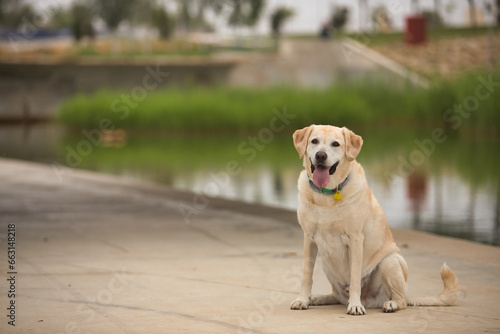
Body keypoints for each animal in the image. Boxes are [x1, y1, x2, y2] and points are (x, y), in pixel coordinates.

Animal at [292, 125, 458, 316]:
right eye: (314, 141)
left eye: (335, 144)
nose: (320, 155)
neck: (326, 195)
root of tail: (370, 300)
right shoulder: (309, 239)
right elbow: (307, 275)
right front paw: (302, 300)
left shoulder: (355, 239)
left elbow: (355, 277)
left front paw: (355, 305)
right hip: (326, 262)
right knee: (336, 295)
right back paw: (320, 298)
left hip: (390, 261)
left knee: (401, 300)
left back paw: (389, 304)